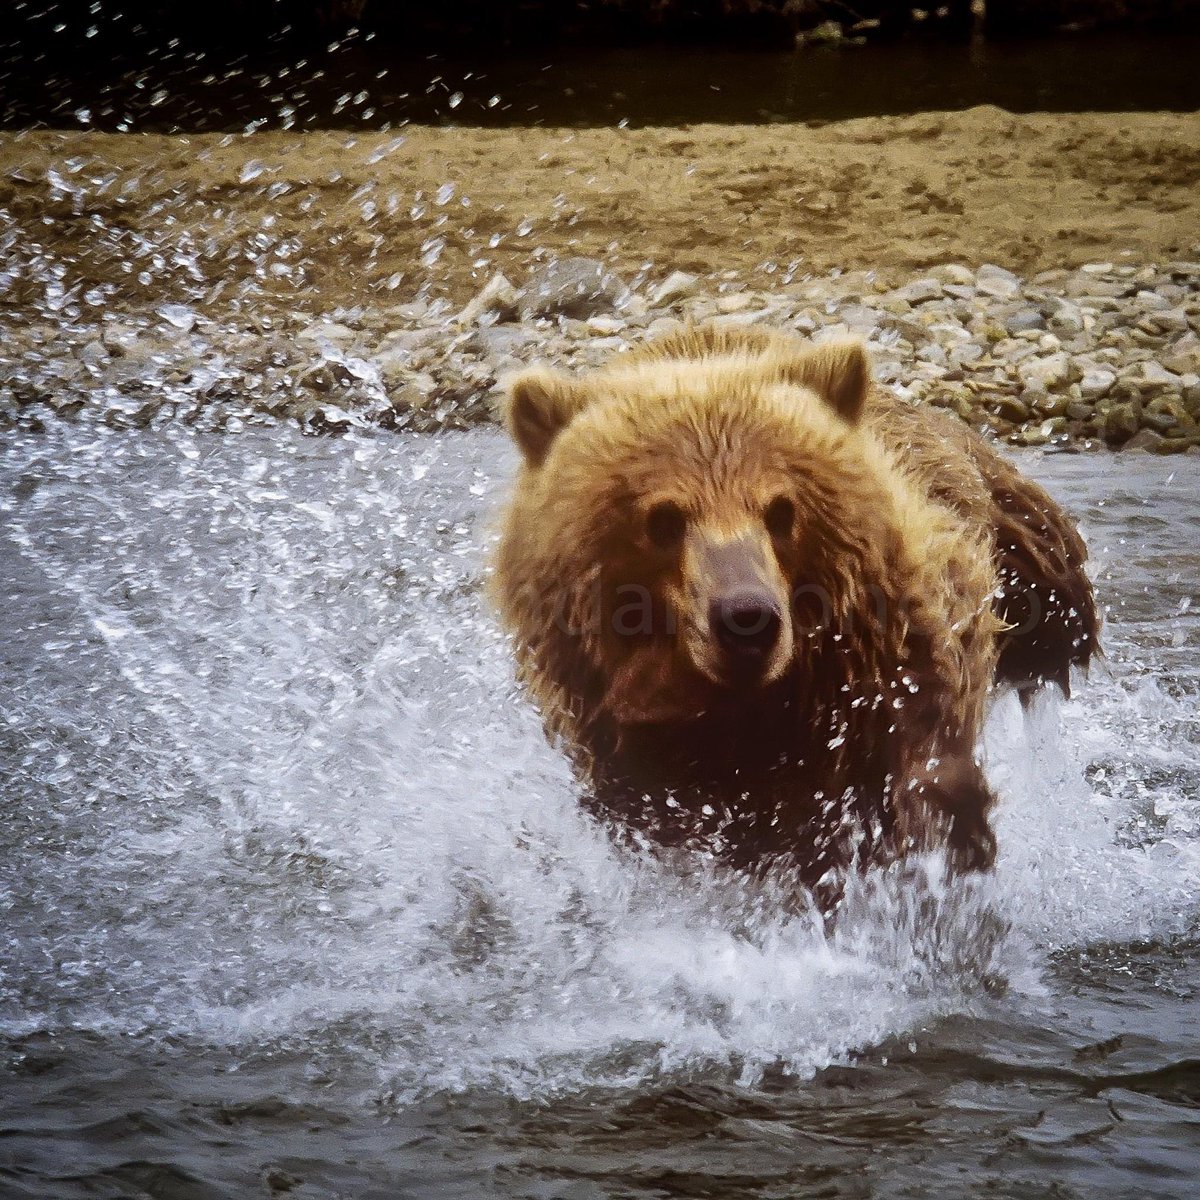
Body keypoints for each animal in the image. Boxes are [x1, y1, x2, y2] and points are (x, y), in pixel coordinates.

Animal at [489, 324, 1099, 897]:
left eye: (781, 509)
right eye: (663, 518)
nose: (746, 618)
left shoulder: (878, 667)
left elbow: (917, 772)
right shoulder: (619, 734)